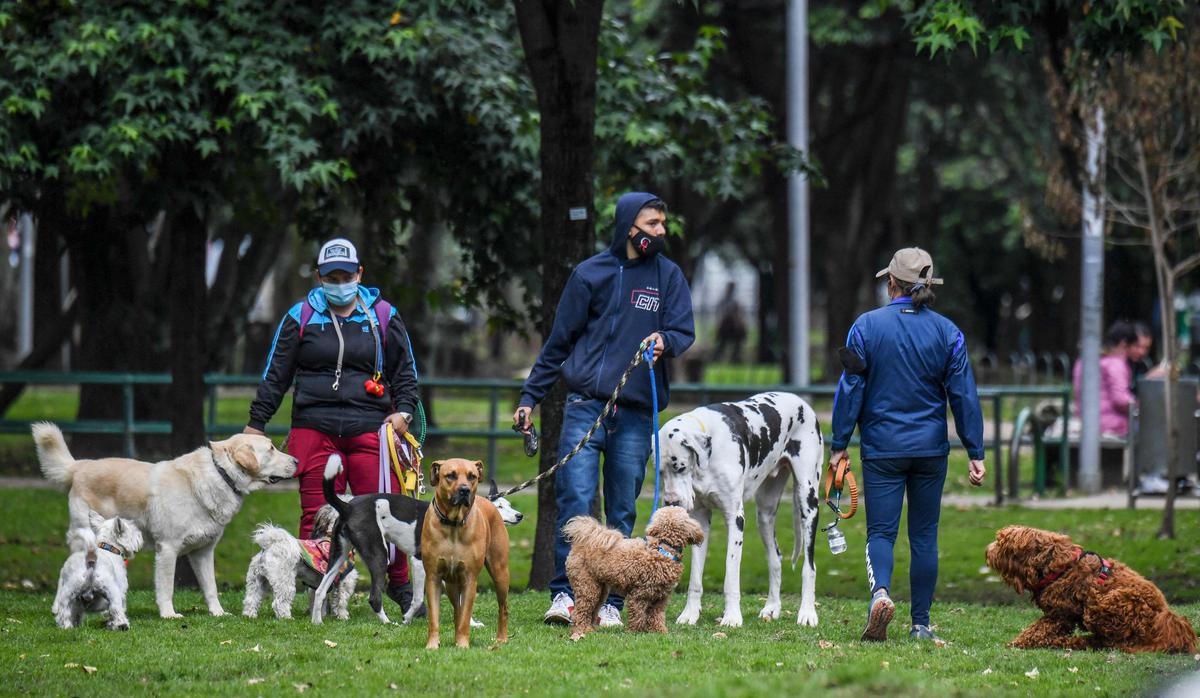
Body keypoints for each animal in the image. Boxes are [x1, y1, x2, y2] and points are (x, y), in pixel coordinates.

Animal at [34, 424, 296, 618]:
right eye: (271, 448)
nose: (296, 461)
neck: (221, 475)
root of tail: (79, 466)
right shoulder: (168, 549)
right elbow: (166, 588)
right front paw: (169, 614)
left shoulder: (203, 551)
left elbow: (211, 587)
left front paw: (218, 613)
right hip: (84, 538)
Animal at [420, 460, 508, 652]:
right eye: (451, 475)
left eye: (472, 476)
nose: (464, 490)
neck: (453, 523)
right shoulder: (433, 577)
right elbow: (434, 618)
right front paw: (432, 645)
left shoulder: (470, 579)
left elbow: (466, 617)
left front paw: (462, 644)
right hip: (451, 584)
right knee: (457, 610)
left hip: (500, 574)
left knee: (503, 608)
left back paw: (501, 639)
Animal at [561, 506, 700, 642]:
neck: (662, 548)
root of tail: (582, 543)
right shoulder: (639, 594)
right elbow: (637, 615)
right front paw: (635, 632)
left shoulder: (661, 598)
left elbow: (657, 616)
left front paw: (659, 631)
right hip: (587, 585)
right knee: (580, 612)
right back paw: (580, 631)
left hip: (600, 589)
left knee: (592, 610)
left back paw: (590, 629)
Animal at [657, 393, 825, 628]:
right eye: (660, 472)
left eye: (680, 467)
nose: (671, 502)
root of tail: (801, 401)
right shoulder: (700, 519)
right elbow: (695, 579)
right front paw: (690, 614)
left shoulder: (735, 518)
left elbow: (731, 577)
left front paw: (732, 617)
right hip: (764, 515)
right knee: (775, 559)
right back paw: (772, 608)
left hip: (808, 502)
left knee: (810, 566)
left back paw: (808, 612)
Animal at [988, 525, 1195, 657]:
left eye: (1000, 543)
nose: (987, 550)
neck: (1054, 565)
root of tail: (1167, 620)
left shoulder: (1059, 615)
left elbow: (1035, 631)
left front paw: (1016, 644)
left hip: (1106, 604)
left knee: (1112, 642)